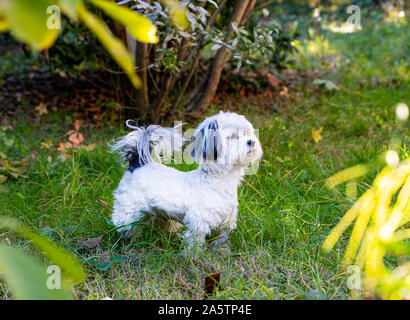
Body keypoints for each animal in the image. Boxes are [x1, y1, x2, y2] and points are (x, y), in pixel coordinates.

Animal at [109, 111, 262, 251]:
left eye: (247, 133)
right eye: (232, 136)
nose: (251, 141)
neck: (219, 180)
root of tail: (139, 163)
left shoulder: (226, 221)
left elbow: (222, 237)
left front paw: (222, 251)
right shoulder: (198, 223)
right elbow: (195, 242)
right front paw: (195, 257)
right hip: (129, 212)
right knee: (126, 226)